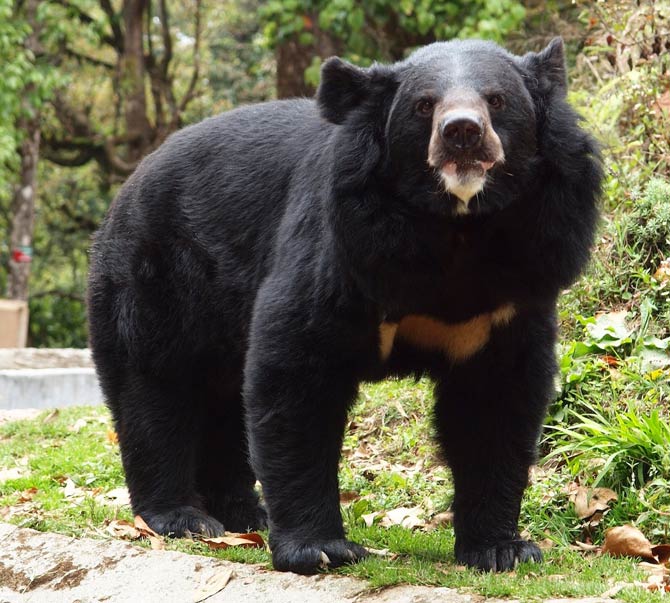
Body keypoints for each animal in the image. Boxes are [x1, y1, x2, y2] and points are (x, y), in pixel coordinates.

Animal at [88, 37, 604, 576]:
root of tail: (126, 189)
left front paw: (503, 549)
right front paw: (320, 548)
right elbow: (296, 374)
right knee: (156, 388)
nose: (462, 132)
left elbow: (496, 400)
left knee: (223, 399)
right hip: (156, 277)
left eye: (496, 100)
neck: (456, 226)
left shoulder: (518, 282)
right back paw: (181, 517)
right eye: (424, 106)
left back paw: (245, 513)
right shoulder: (343, 246)